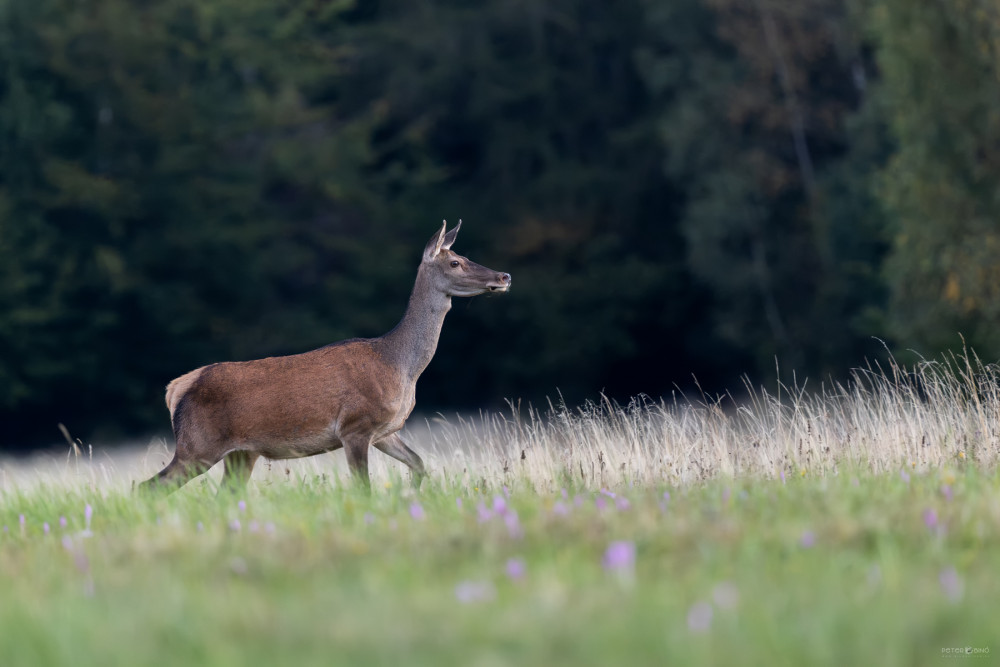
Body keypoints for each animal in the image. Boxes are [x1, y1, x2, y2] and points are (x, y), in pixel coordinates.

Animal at [138, 222, 512, 494]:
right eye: (455, 262)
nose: (504, 276)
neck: (400, 366)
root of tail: (175, 388)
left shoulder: (384, 430)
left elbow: (419, 464)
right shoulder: (355, 426)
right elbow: (363, 488)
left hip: (241, 452)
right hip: (197, 445)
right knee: (148, 487)